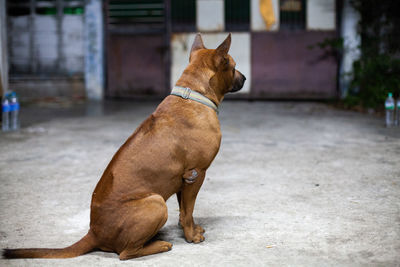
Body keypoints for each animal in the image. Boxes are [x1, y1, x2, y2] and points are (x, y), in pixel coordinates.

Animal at [3, 33, 245, 262]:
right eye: (233, 66)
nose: (244, 78)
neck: (193, 94)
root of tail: (94, 233)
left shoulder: (184, 180)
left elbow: (186, 209)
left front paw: (190, 228)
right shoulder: (196, 174)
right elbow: (188, 211)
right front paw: (191, 236)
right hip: (156, 202)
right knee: (125, 253)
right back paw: (159, 245)